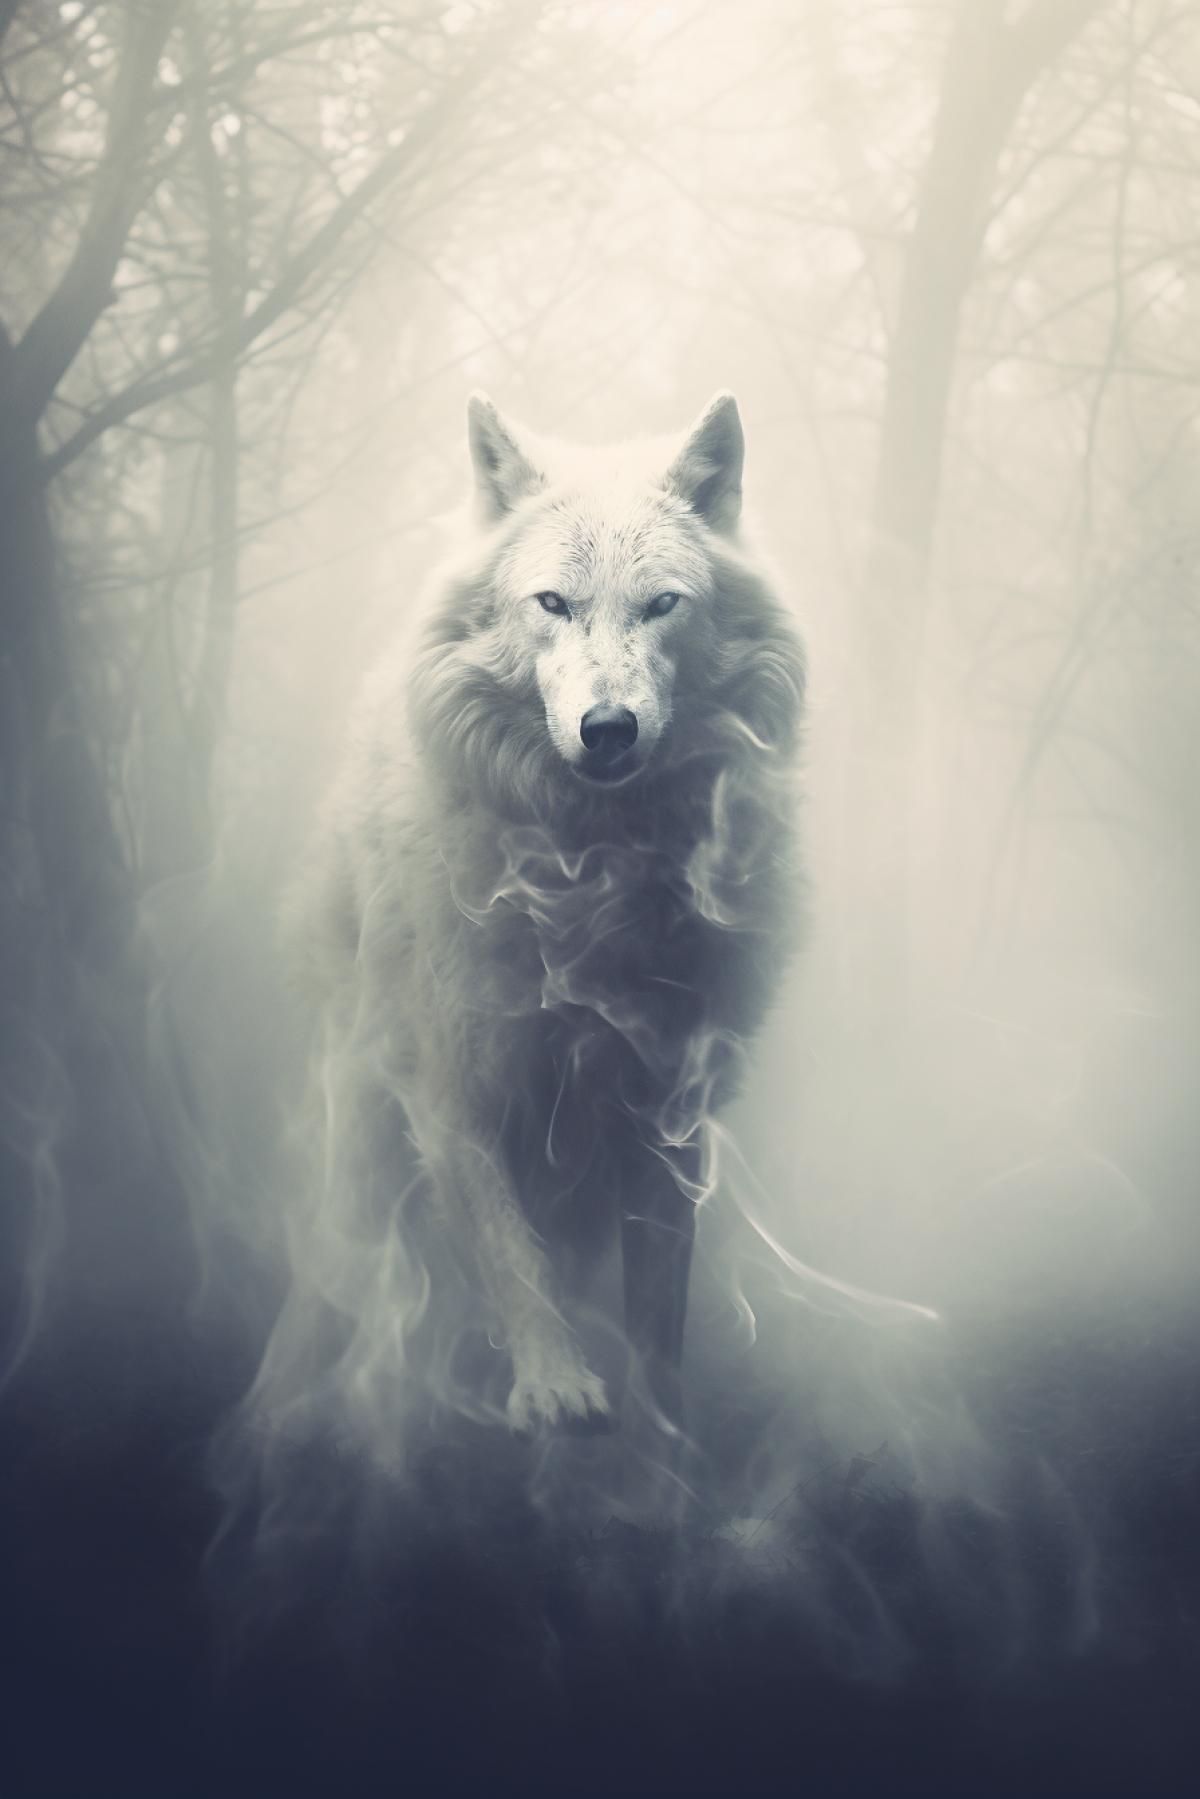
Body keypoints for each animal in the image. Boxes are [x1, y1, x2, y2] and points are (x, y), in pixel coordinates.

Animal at [292, 392, 805, 1439]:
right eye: (554, 604)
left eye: (662, 605)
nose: (608, 729)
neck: (590, 876)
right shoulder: (452, 1085)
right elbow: (508, 1252)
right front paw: (557, 1386)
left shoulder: (669, 1111)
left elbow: (658, 1305)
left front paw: (659, 1425)